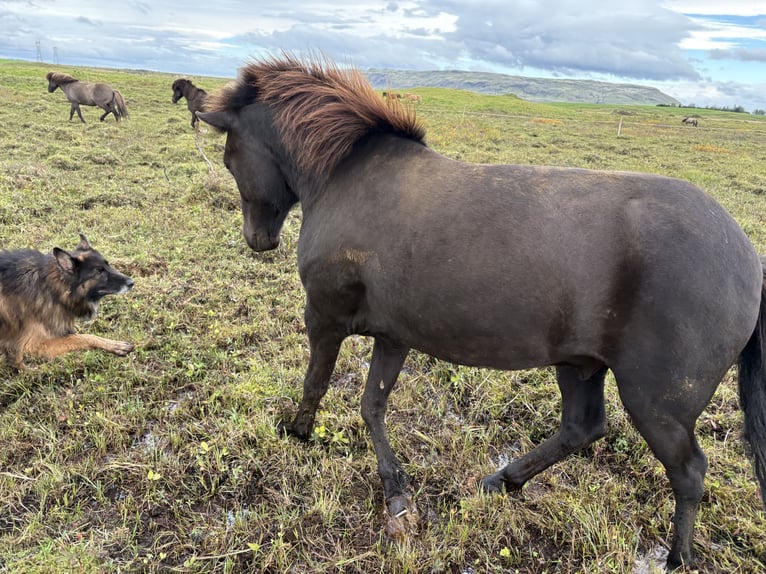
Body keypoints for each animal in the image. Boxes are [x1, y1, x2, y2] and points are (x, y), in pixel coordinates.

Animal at [198, 54, 766, 570]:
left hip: (656, 403)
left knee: (688, 472)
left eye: (229, 158)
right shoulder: (393, 335)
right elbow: (371, 406)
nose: (259, 240)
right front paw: (395, 490)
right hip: (579, 364)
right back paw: (501, 480)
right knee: (582, 428)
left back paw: (677, 557)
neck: (348, 176)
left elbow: (317, 382)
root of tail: (749, 258)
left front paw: (298, 434)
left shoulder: (324, 316)